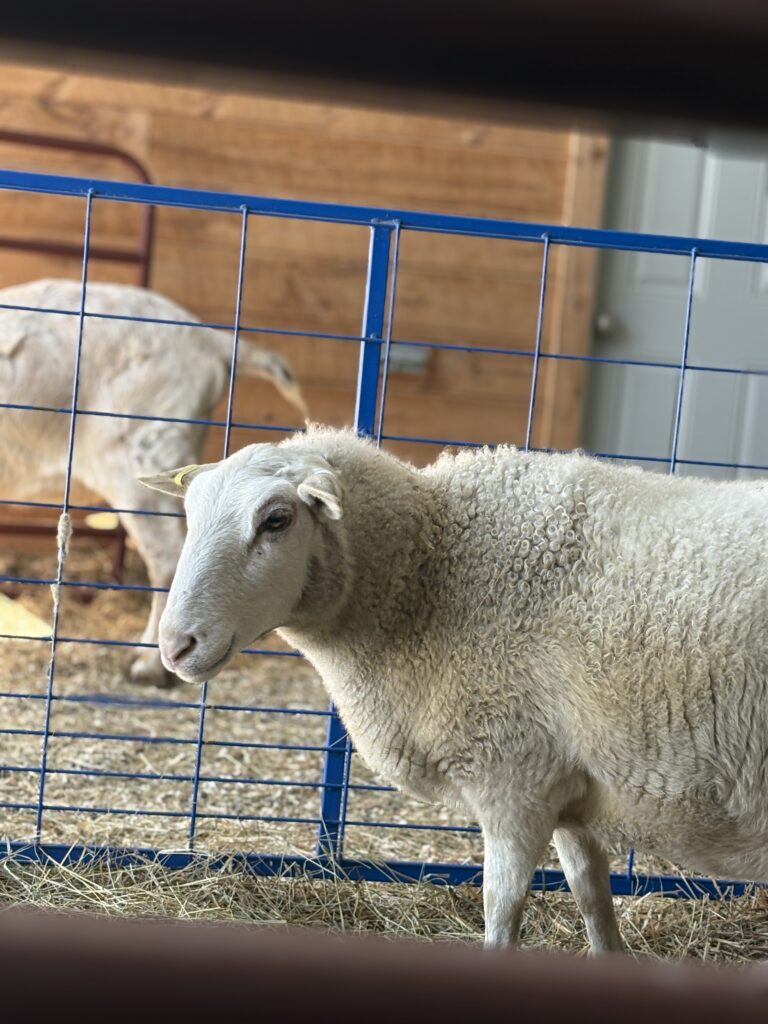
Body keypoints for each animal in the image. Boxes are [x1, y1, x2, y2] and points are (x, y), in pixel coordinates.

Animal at [141, 425, 768, 953]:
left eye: (276, 520)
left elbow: (501, 914)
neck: (431, 571)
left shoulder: (512, 778)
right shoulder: (570, 786)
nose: (174, 646)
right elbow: (594, 906)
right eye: (190, 513)